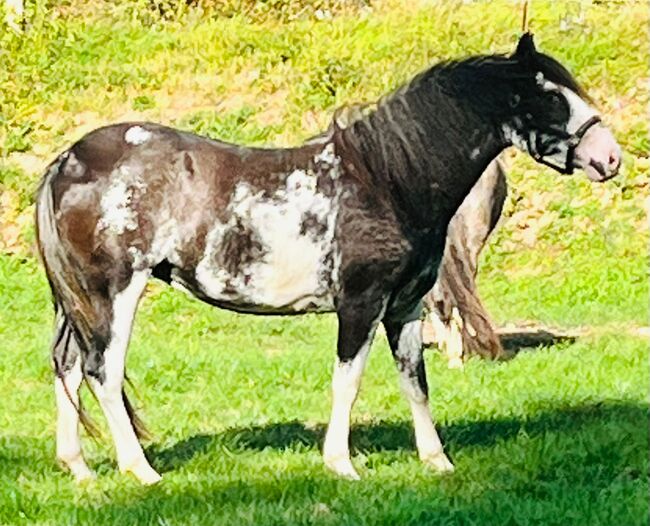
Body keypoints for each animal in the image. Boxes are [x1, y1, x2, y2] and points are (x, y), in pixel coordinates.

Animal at [34, 34, 616, 486]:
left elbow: (415, 381)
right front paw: (341, 463)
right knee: (103, 371)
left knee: (67, 365)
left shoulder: (405, 307)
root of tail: (69, 160)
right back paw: (141, 470)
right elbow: (348, 380)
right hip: (113, 293)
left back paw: (78, 467)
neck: (385, 179)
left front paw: (437, 461)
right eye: (549, 96)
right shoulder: (360, 303)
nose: (610, 157)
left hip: (77, 301)